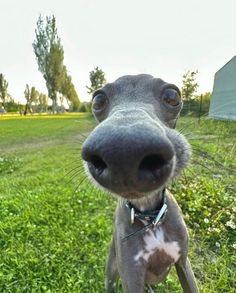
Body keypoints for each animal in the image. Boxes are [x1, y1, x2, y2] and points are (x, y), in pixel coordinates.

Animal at [81, 74, 199, 292]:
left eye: (173, 95)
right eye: (97, 99)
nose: (123, 151)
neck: (150, 218)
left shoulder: (184, 263)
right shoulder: (131, 276)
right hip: (112, 271)